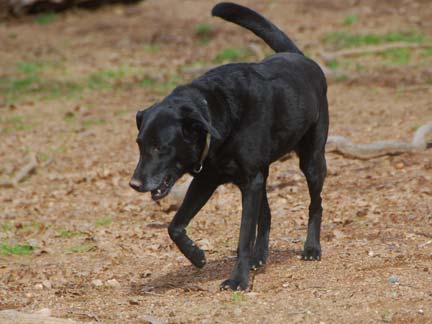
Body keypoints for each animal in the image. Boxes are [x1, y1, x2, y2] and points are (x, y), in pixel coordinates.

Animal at [130, 2, 330, 292]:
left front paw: (238, 280)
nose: (134, 184)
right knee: (266, 215)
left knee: (316, 203)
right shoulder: (207, 180)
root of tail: (299, 57)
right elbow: (174, 225)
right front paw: (197, 255)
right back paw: (260, 257)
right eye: (140, 144)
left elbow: (243, 236)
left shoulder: (248, 179)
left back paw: (312, 248)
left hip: (311, 160)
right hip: (261, 176)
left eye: (160, 147)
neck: (215, 114)